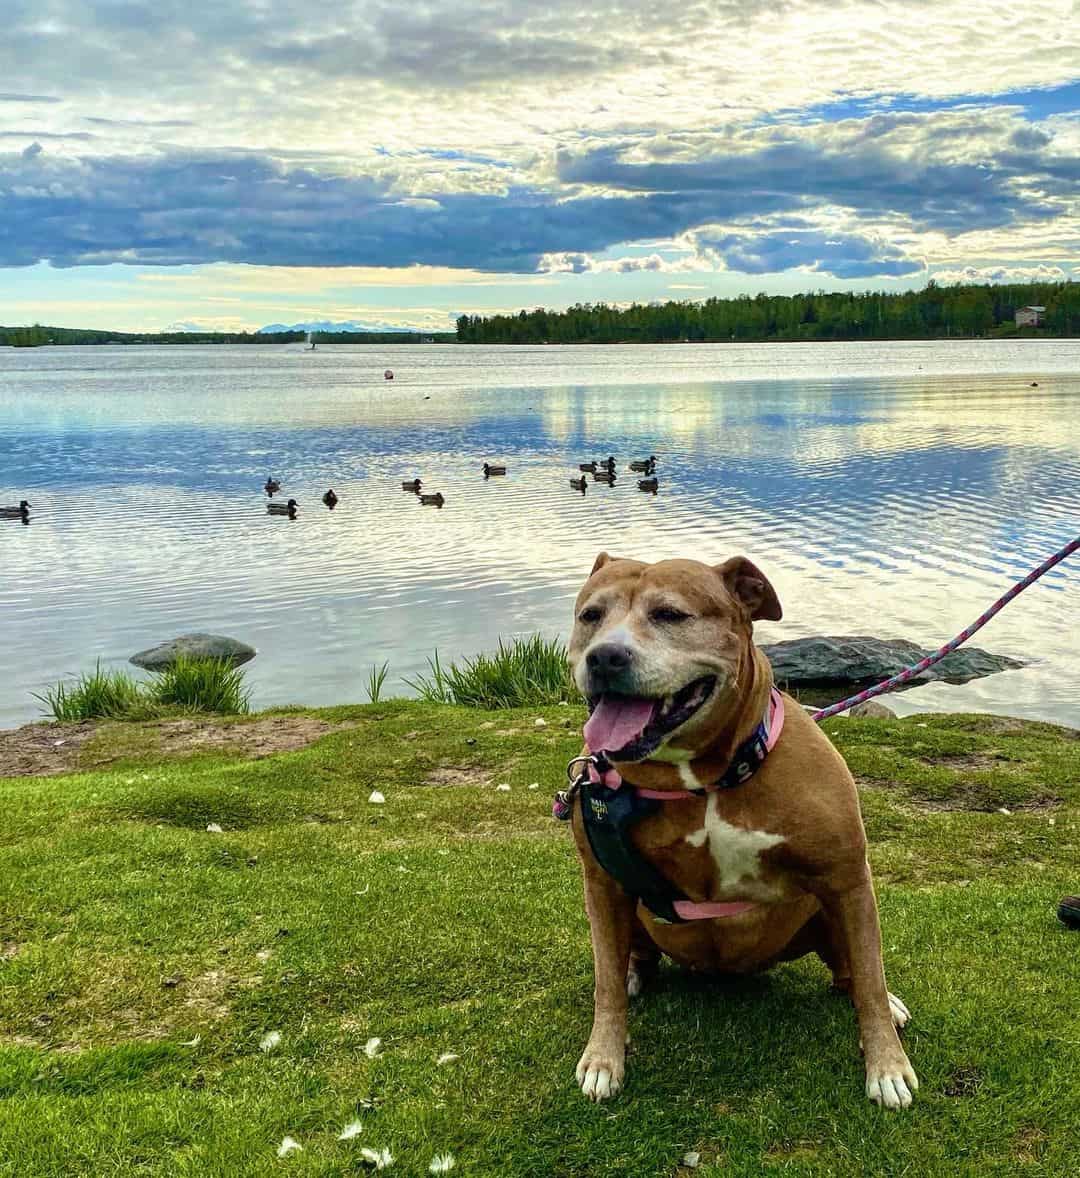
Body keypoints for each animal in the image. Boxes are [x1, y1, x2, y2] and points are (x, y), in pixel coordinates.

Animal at [565, 551, 918, 1102]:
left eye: (670, 615)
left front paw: (887, 1066)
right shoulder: (602, 883)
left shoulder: (848, 879)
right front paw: (604, 1057)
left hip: (831, 914)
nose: (605, 657)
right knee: (630, 958)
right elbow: (604, 983)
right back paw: (633, 973)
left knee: (852, 975)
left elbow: (871, 980)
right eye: (591, 616)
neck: (704, 780)